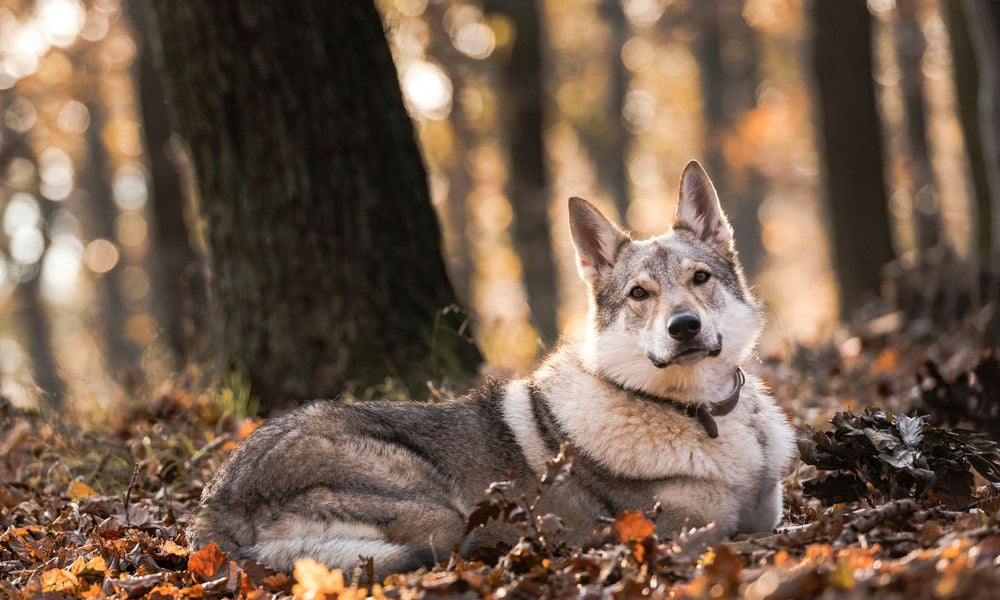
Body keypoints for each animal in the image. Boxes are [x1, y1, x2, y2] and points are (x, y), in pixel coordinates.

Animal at [186, 161, 797, 578]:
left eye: (700, 279)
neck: (698, 411)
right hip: (440, 518)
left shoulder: (765, 511)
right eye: (640, 294)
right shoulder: (691, 529)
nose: (684, 327)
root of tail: (214, 506)